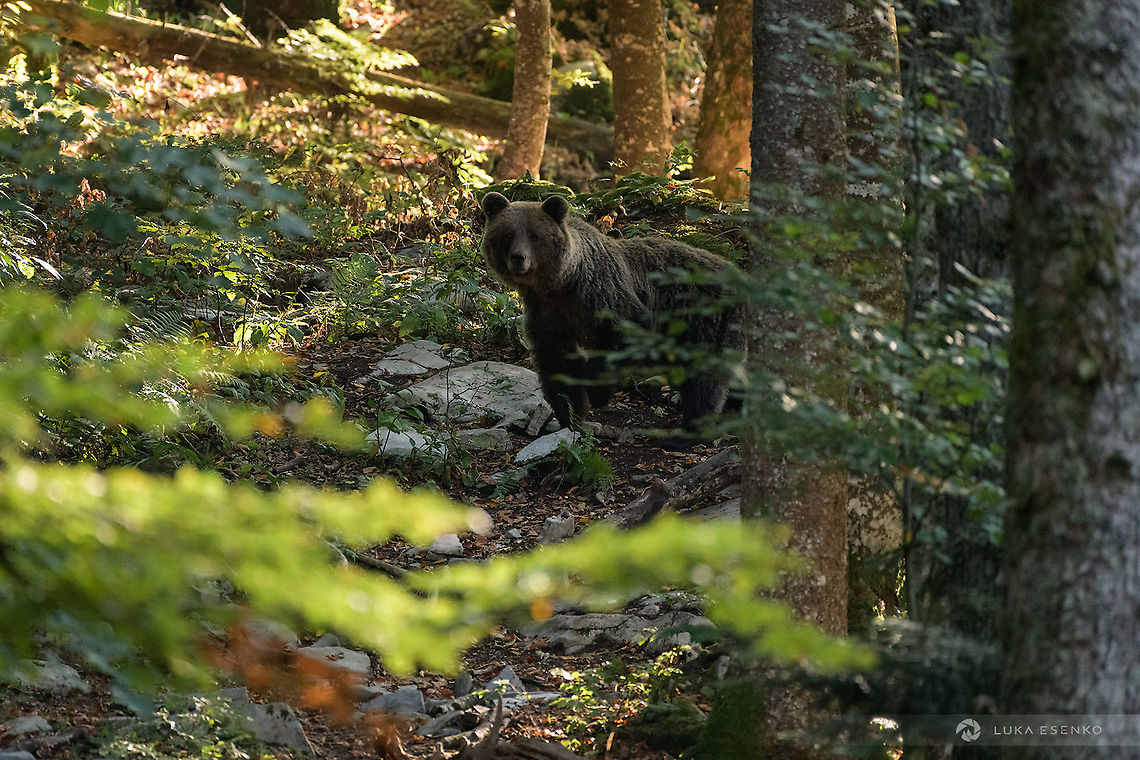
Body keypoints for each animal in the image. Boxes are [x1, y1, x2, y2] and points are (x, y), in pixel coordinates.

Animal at [480, 191, 744, 436]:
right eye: (508, 234)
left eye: (535, 235)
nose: (518, 257)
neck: (563, 284)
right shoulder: (547, 314)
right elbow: (556, 362)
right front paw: (572, 417)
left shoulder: (604, 295)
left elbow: (624, 336)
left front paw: (597, 392)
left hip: (705, 318)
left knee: (705, 379)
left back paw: (690, 430)